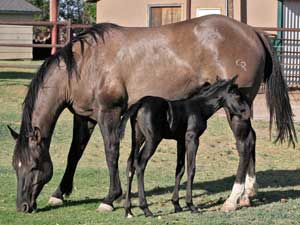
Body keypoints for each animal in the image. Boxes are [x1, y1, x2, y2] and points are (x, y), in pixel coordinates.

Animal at [118, 76, 252, 217]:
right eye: (237, 96)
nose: (247, 113)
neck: (200, 107)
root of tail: (140, 103)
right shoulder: (192, 138)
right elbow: (191, 169)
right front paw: (191, 205)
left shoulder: (181, 141)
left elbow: (180, 169)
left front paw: (176, 204)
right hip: (152, 140)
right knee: (140, 164)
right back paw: (145, 208)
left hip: (137, 138)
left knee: (130, 164)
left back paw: (128, 210)